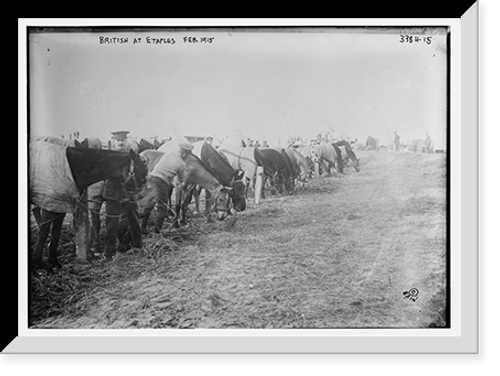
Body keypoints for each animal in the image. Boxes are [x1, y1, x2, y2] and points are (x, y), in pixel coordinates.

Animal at [29, 141, 147, 270]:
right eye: (141, 173)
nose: (140, 200)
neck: (73, 167)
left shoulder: (59, 206)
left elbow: (56, 233)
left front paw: (54, 262)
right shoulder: (49, 204)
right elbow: (43, 232)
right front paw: (39, 263)